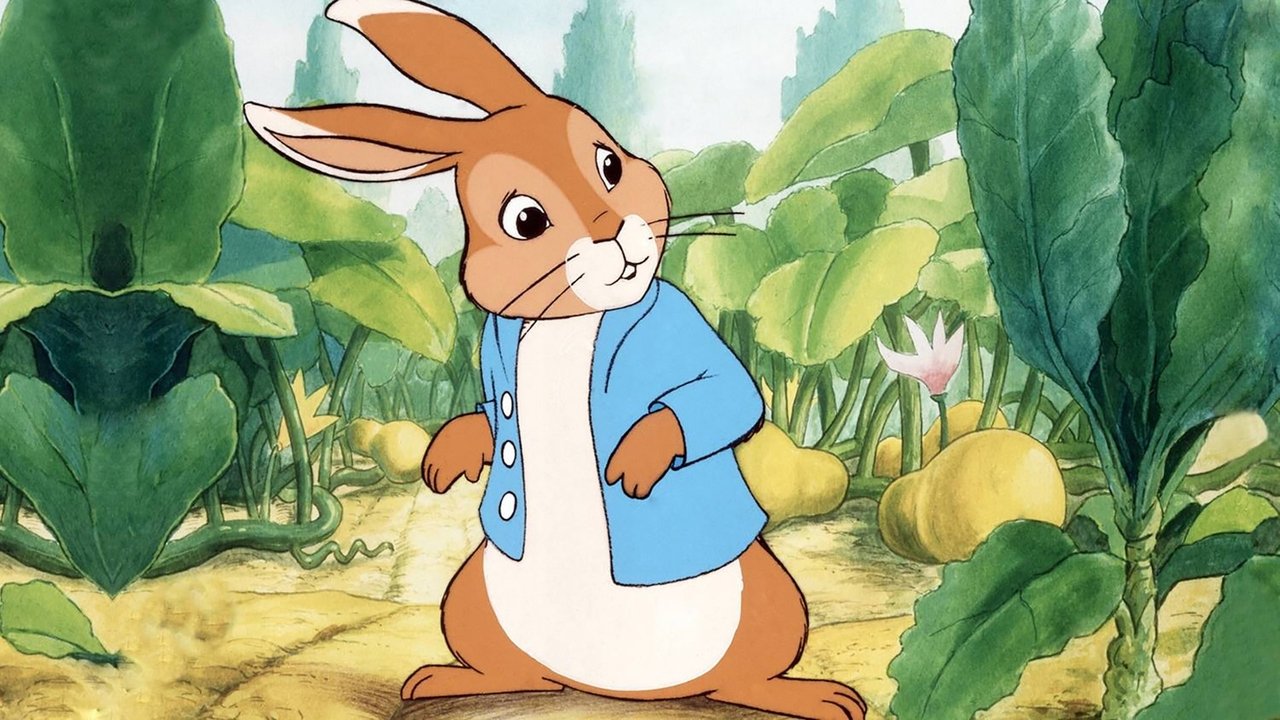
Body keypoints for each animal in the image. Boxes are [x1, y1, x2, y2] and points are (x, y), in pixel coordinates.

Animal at [244, 2, 867, 718]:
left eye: (609, 165)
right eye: (526, 220)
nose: (614, 233)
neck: (565, 323)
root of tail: (612, 688)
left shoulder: (681, 325)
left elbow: (727, 395)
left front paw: (638, 459)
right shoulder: (494, 351)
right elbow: (489, 411)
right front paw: (449, 456)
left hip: (772, 600)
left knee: (743, 676)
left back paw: (815, 697)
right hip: (471, 597)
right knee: (520, 671)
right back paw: (448, 680)